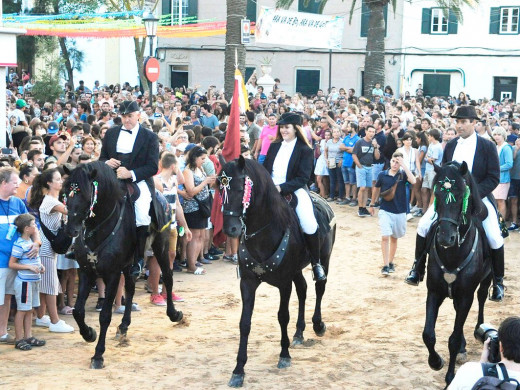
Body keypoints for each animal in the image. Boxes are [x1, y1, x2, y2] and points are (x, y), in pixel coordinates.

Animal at [63, 161, 183, 368]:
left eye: (85, 195)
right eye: (65, 194)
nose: (71, 230)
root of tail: (164, 198)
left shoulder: (111, 274)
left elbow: (105, 316)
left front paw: (98, 355)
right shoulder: (87, 272)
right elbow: (78, 311)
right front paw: (89, 334)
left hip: (161, 246)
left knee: (167, 278)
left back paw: (174, 314)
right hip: (128, 265)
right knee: (130, 288)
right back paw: (124, 326)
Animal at [219, 156, 338, 386]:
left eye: (240, 188)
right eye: (220, 190)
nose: (231, 229)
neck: (264, 231)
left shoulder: (284, 283)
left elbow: (283, 316)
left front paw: (284, 355)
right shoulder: (248, 282)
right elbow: (244, 323)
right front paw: (238, 370)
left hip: (324, 258)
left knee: (320, 287)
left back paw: (318, 325)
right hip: (296, 271)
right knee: (303, 290)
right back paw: (299, 333)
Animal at [422, 160, 492, 386]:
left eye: (462, 196)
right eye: (437, 193)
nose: (445, 238)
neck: (453, 254)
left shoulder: (465, 296)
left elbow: (452, 339)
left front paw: (450, 376)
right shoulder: (434, 292)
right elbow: (428, 334)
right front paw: (435, 361)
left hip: (486, 280)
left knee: (481, 298)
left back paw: (479, 328)